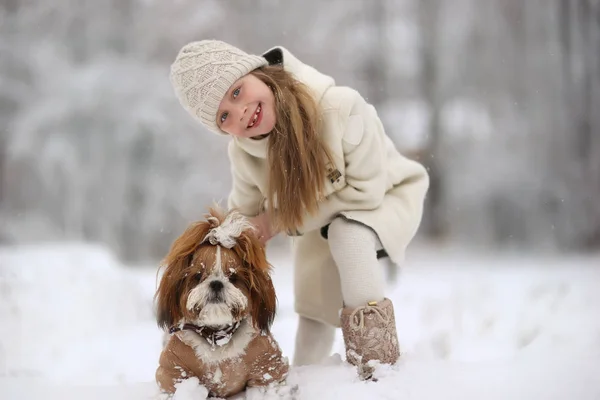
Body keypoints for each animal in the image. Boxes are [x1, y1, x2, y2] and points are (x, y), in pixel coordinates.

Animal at [156, 208, 290, 398]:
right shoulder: (173, 370)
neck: (217, 338)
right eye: (198, 275)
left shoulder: (266, 365)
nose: (216, 283)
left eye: (233, 277)